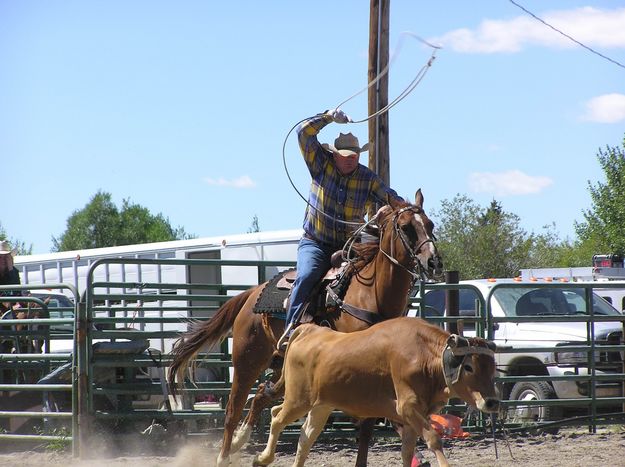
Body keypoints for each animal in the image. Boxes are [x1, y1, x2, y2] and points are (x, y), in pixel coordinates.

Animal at [166, 188, 438, 466]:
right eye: (406, 227)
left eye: (430, 225)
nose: (432, 261)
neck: (370, 294)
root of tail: (251, 295)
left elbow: (371, 424)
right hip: (246, 361)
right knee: (233, 408)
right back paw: (224, 455)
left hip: (283, 369)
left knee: (262, 395)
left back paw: (242, 440)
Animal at [251, 316, 500, 466]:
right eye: (468, 367)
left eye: (492, 367)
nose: (492, 402)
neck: (422, 354)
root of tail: (308, 330)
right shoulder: (407, 407)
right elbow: (433, 439)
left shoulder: (413, 417)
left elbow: (407, 451)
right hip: (299, 399)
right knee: (276, 417)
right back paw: (263, 457)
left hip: (321, 405)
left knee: (305, 437)